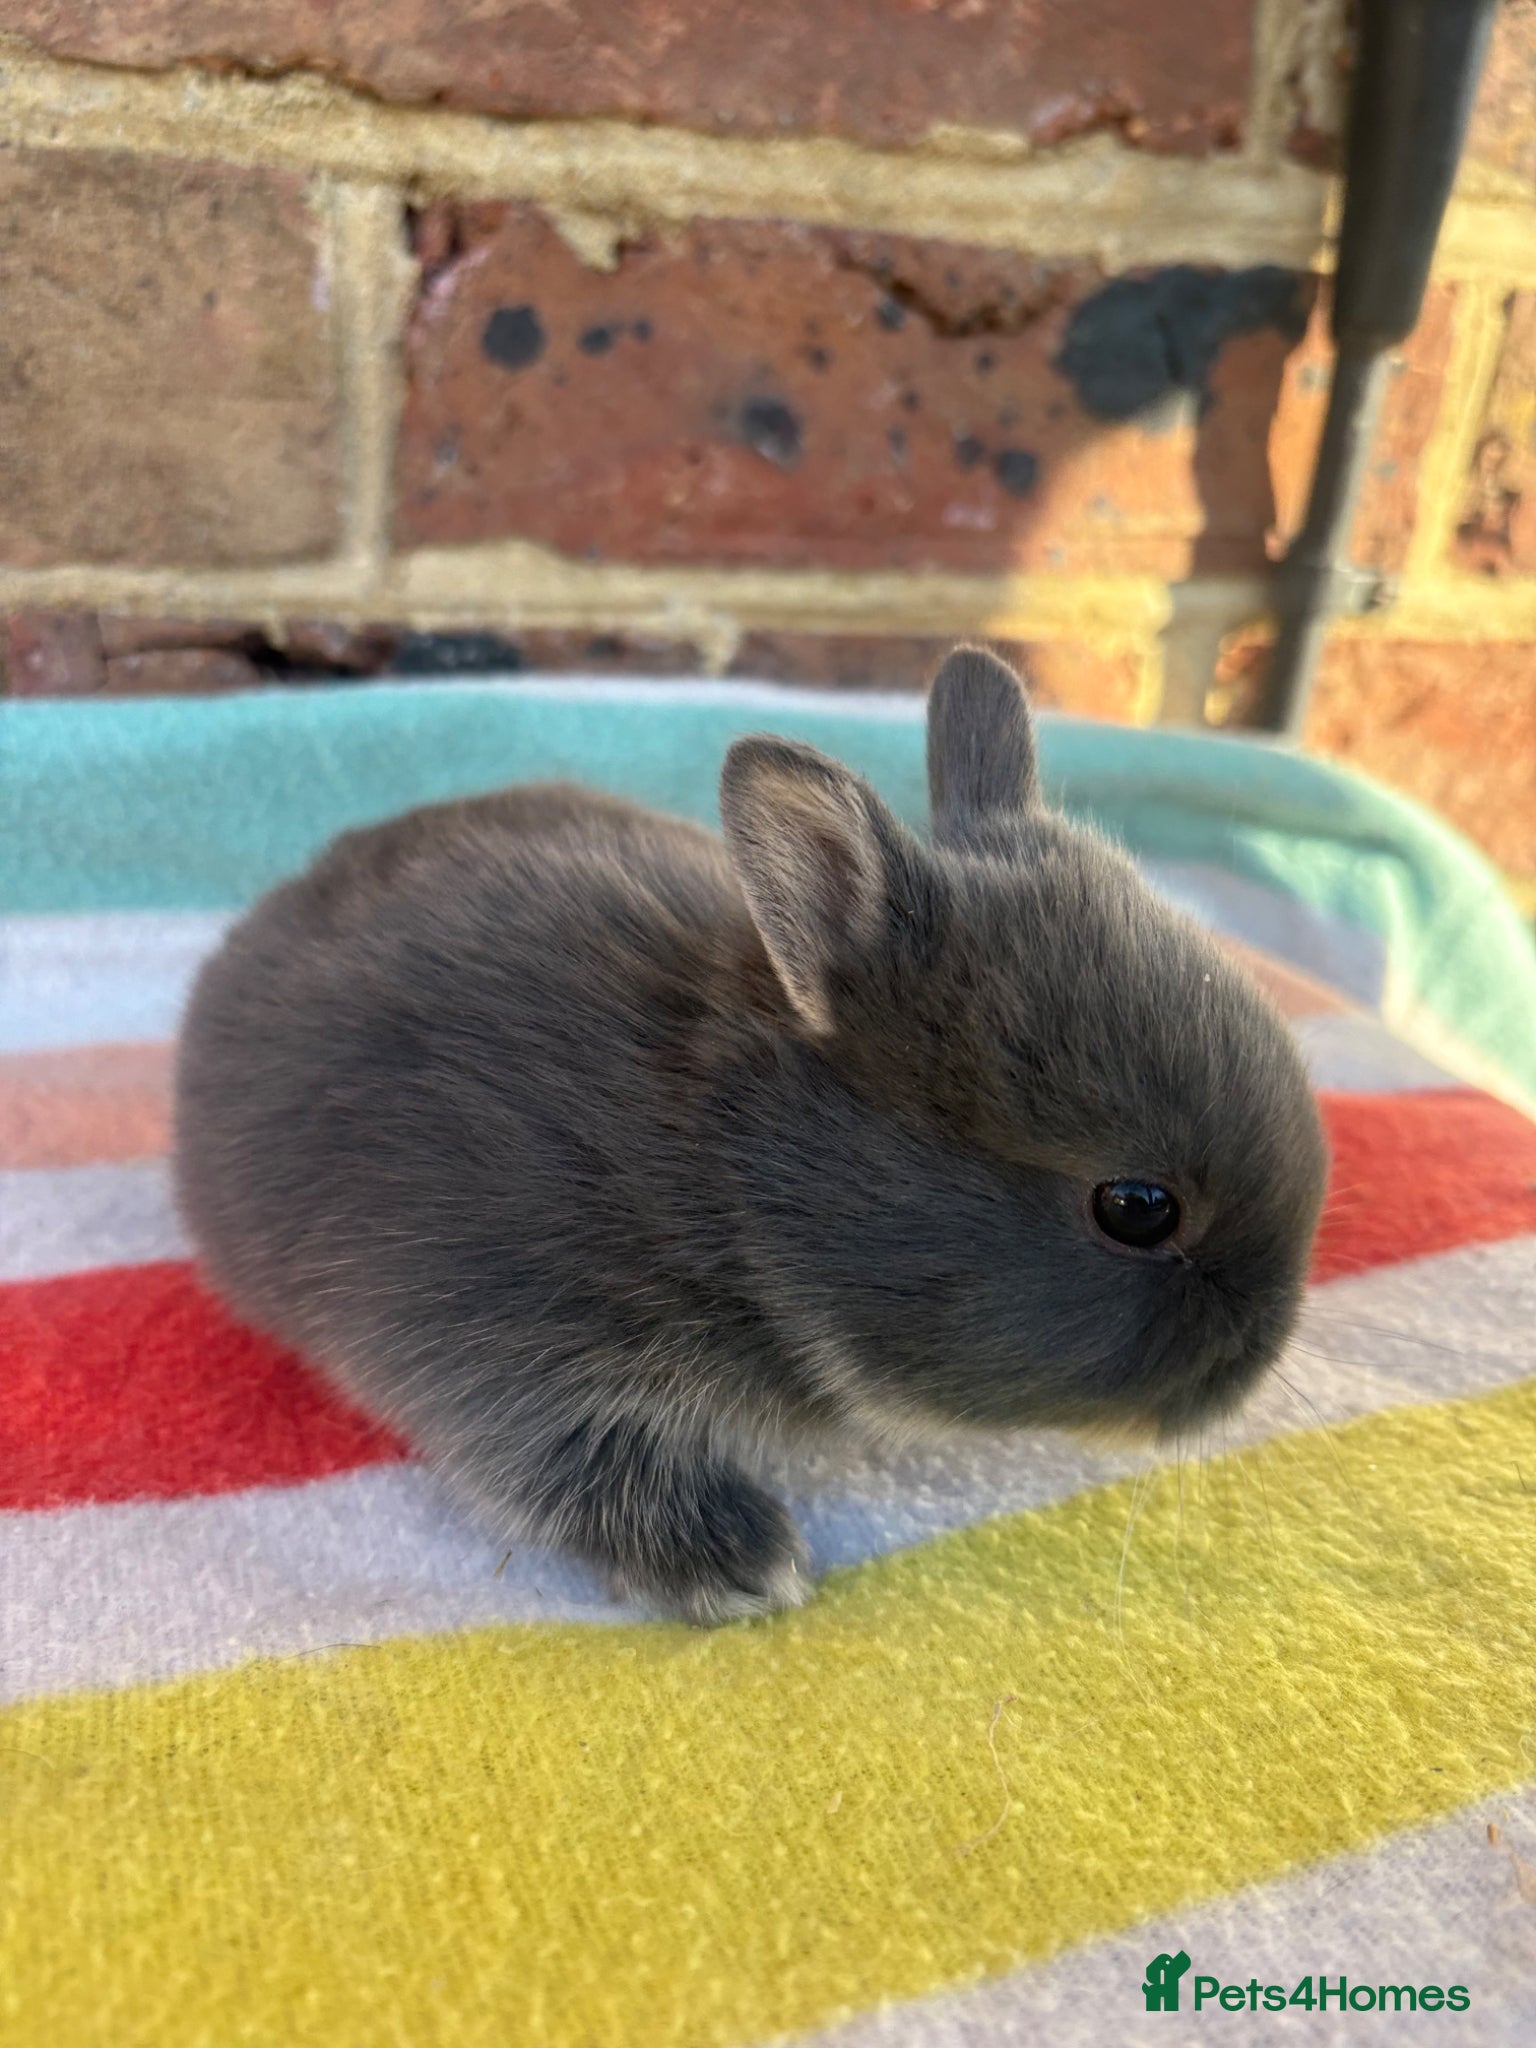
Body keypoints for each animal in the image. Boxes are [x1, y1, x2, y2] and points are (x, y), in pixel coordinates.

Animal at [174, 648, 1328, 1624]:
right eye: (1137, 1209)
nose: (1259, 1358)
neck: (728, 1169)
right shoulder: (491, 1311)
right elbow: (550, 1452)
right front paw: (742, 1561)